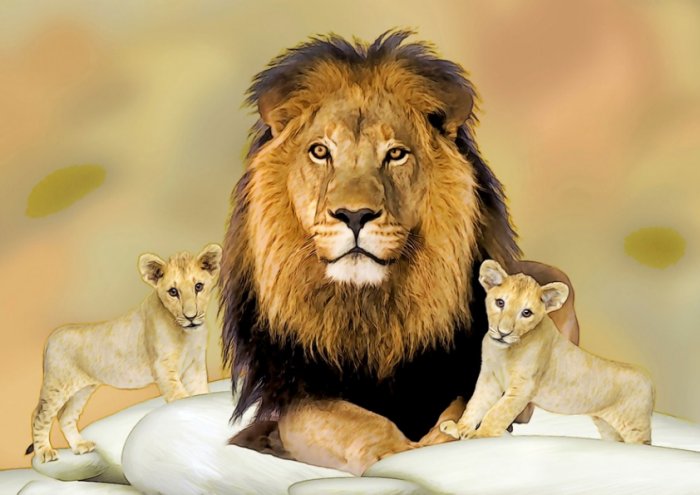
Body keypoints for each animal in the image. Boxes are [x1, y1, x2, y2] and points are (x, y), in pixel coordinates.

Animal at [27, 243, 222, 463]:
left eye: (198, 286)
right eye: (173, 291)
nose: (191, 316)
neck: (187, 333)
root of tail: (51, 336)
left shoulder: (195, 366)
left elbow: (200, 395)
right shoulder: (163, 367)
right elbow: (181, 398)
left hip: (81, 390)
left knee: (65, 417)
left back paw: (80, 446)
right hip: (56, 386)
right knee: (38, 415)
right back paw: (44, 451)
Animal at [221, 30, 581, 474]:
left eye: (395, 153)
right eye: (320, 151)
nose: (354, 215)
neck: (370, 311)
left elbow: (458, 412)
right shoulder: (298, 393)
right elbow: (358, 423)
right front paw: (401, 455)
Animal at [440, 260, 654, 444]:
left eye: (526, 313)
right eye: (500, 303)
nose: (503, 333)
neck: (503, 350)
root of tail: (649, 380)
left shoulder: (523, 387)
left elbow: (497, 412)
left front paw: (481, 437)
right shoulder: (489, 378)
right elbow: (475, 404)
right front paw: (459, 429)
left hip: (635, 426)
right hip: (608, 426)